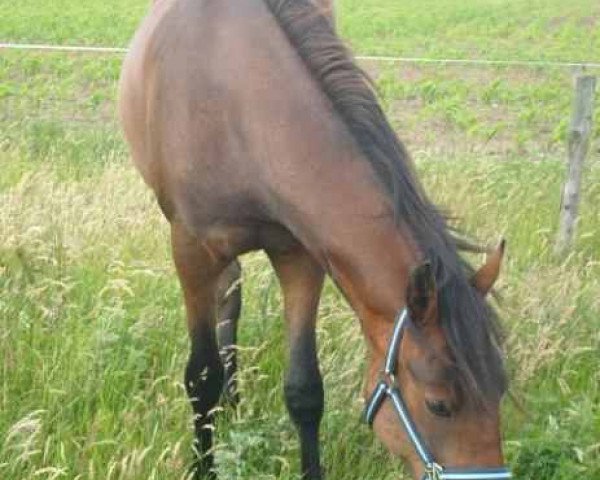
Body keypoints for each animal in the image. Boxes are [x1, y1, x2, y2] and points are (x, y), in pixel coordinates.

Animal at [118, 0, 510, 480]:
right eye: (439, 405)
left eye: (501, 390)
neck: (235, 107)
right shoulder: (191, 251)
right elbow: (201, 377)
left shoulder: (300, 254)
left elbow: (304, 389)